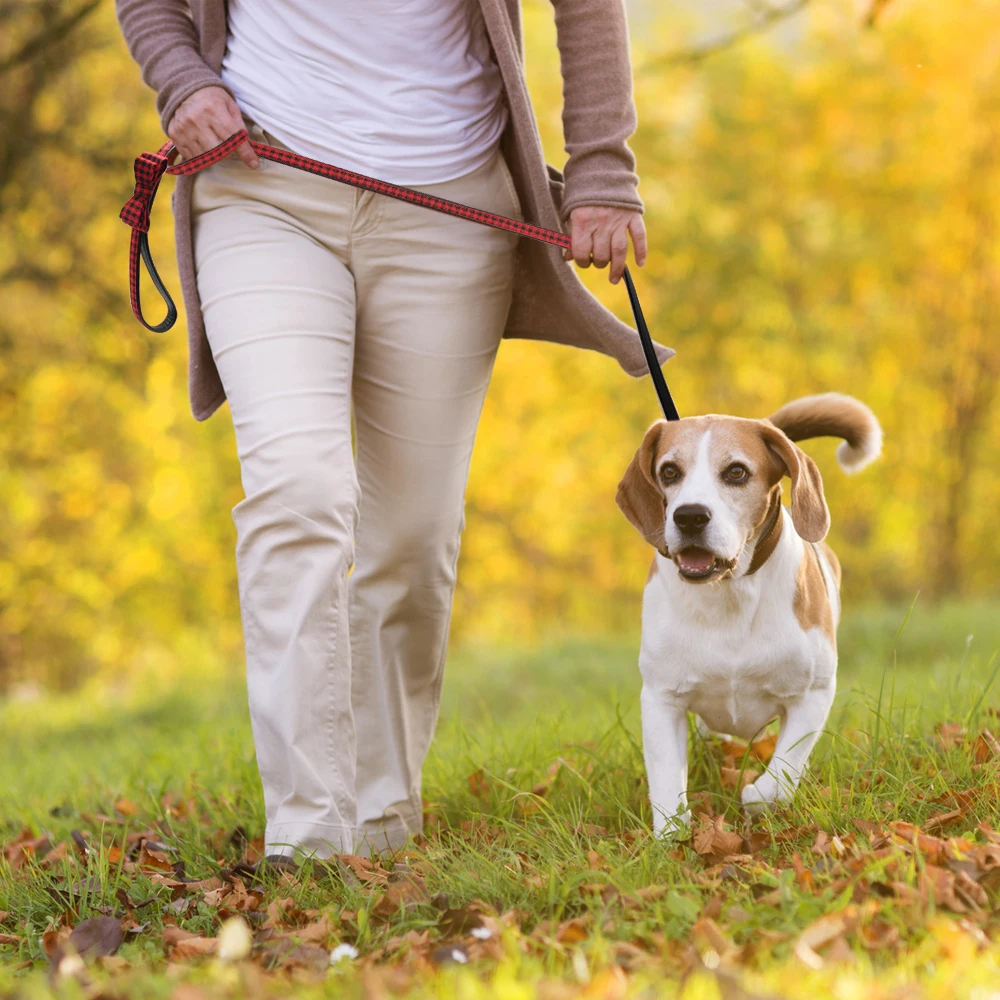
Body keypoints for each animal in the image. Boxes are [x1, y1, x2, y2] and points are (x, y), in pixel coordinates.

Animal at [612, 394, 880, 832]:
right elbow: (667, 781)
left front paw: (757, 797)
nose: (689, 516)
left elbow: (782, 773)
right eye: (669, 471)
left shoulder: (813, 694)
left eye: (736, 471)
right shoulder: (661, 698)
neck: (728, 594)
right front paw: (672, 836)